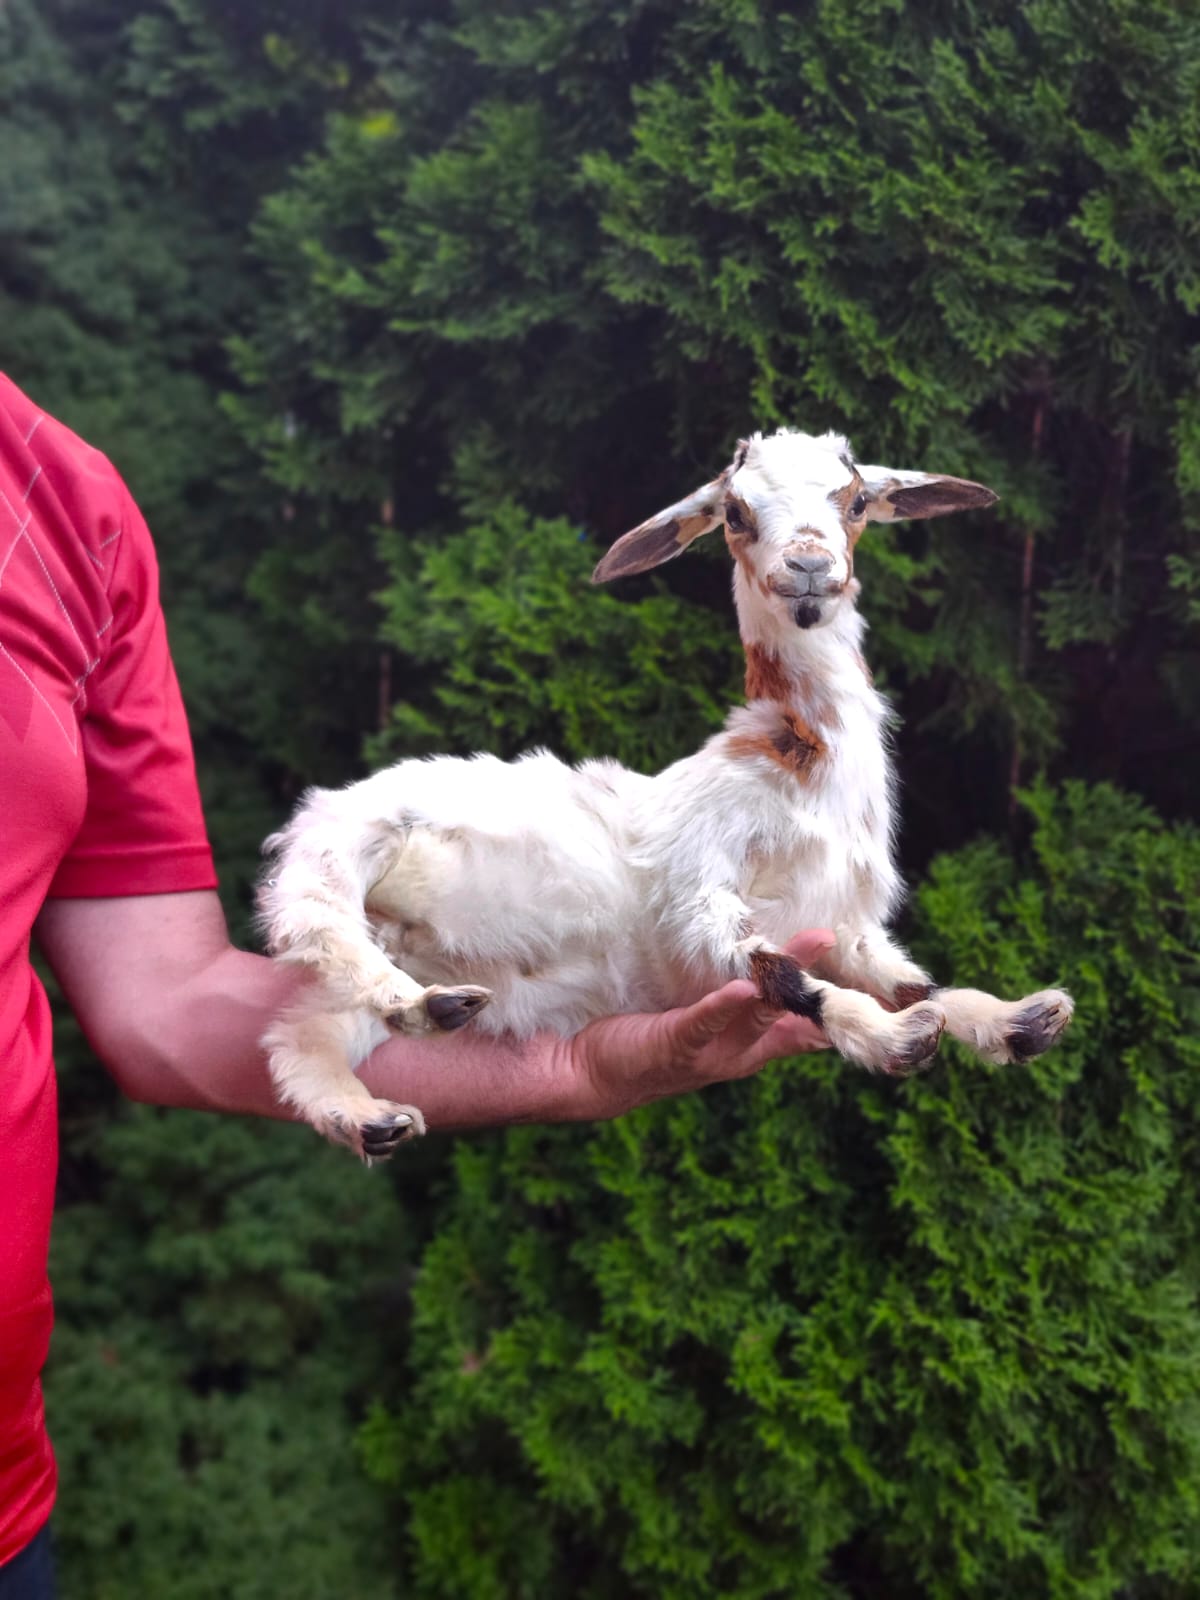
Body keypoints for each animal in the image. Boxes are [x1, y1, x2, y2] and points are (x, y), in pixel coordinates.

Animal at [258, 428, 1073, 1160]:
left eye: (858, 501)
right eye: (736, 512)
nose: (809, 567)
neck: (799, 763)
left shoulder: (846, 924)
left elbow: (913, 981)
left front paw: (1015, 1020)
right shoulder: (698, 889)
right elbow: (779, 971)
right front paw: (887, 1037)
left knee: (300, 1033)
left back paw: (373, 1112)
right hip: (345, 847)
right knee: (320, 929)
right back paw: (420, 1008)